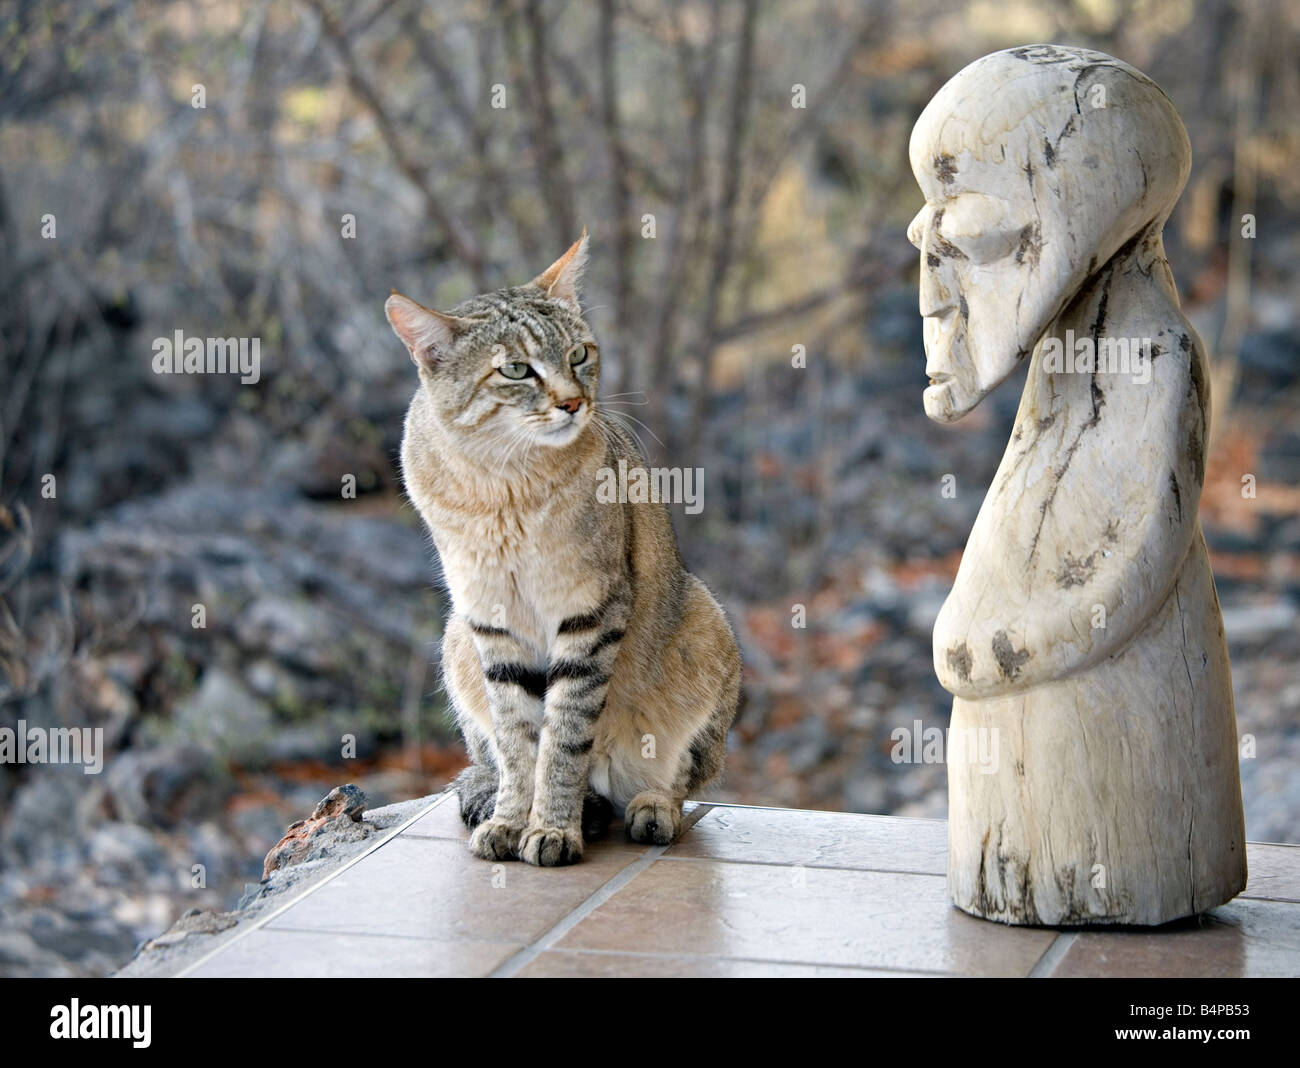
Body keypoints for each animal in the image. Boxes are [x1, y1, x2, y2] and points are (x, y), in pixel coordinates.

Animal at [382, 236, 743, 867]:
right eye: (515, 369)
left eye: (578, 354)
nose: (575, 403)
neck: (504, 488)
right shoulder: (490, 619)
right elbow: (517, 741)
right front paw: (511, 820)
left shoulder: (592, 611)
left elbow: (563, 736)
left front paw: (551, 828)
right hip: (454, 639)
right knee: (488, 758)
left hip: (706, 625)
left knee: (685, 777)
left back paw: (652, 808)